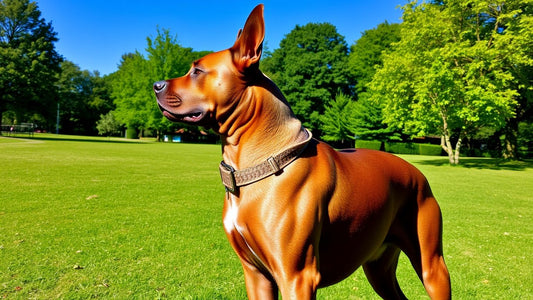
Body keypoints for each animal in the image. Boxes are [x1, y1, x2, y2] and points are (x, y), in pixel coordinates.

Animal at [154, 4, 448, 300]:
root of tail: (417, 173)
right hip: (378, 268)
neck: (260, 162)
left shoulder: (296, 277)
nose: (155, 85)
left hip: (431, 265)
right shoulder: (256, 275)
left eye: (197, 71)